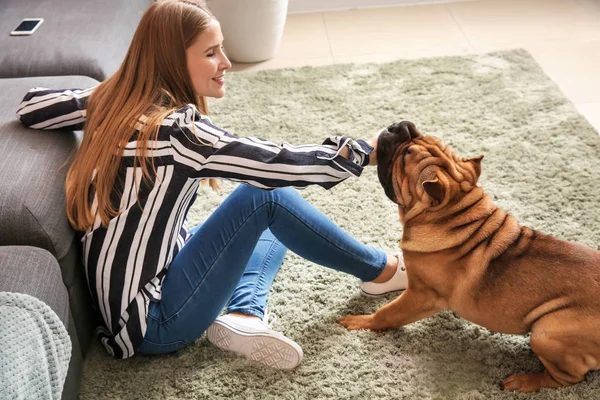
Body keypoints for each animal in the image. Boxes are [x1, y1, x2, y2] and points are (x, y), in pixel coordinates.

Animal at [338, 120, 600, 392]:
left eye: (405, 156)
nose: (403, 125)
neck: (456, 215)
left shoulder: (420, 296)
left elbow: (387, 313)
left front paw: (360, 321)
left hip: (546, 334)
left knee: (568, 378)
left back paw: (524, 381)